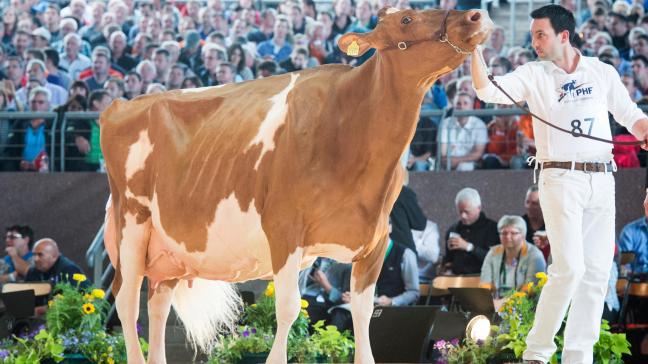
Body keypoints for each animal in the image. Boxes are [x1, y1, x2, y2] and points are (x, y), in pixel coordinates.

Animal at [101, 6, 492, 364]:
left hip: (169, 250)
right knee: (126, 302)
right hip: (132, 225)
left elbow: (363, 314)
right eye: (406, 19)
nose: (475, 15)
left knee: (157, 305)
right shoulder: (284, 230)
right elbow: (289, 309)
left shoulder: (376, 241)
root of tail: (119, 105)